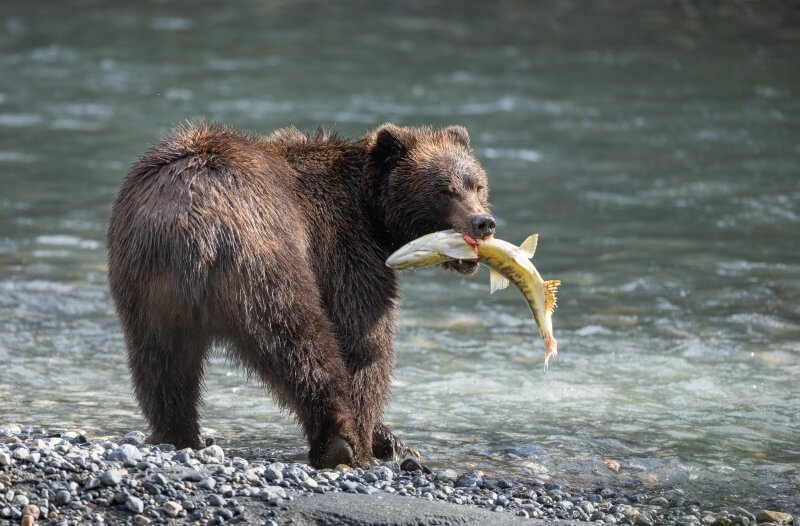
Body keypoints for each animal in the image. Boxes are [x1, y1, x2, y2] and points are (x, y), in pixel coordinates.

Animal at [106, 122, 495, 468]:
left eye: (477, 185)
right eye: (443, 190)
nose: (483, 222)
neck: (374, 215)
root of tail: (193, 225)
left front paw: (392, 440)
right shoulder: (346, 249)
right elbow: (364, 344)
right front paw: (376, 436)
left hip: (146, 284)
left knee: (159, 363)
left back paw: (177, 434)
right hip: (266, 261)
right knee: (300, 343)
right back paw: (341, 443)